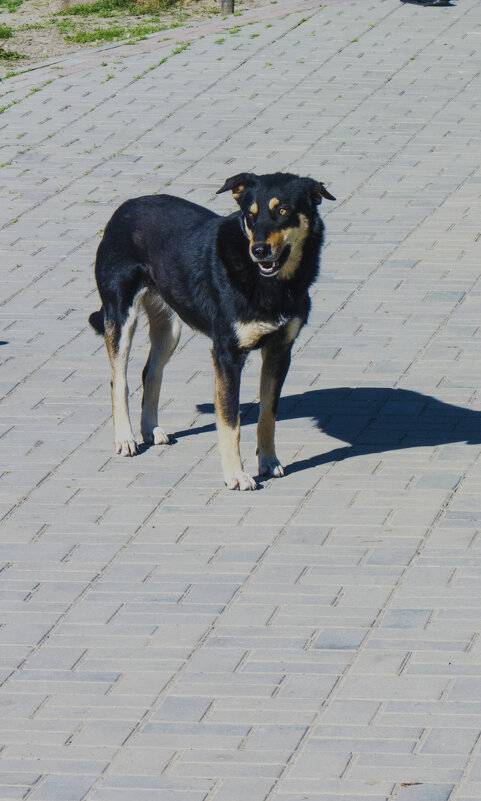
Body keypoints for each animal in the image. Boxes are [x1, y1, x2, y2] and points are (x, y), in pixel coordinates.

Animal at [88, 170, 334, 488]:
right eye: (250, 214)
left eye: (283, 211)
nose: (258, 250)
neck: (271, 283)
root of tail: (125, 207)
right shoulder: (227, 354)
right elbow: (231, 421)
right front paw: (236, 475)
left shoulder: (279, 350)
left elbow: (267, 415)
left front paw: (268, 461)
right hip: (121, 316)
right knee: (119, 380)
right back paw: (125, 438)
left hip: (170, 327)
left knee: (150, 373)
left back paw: (150, 429)